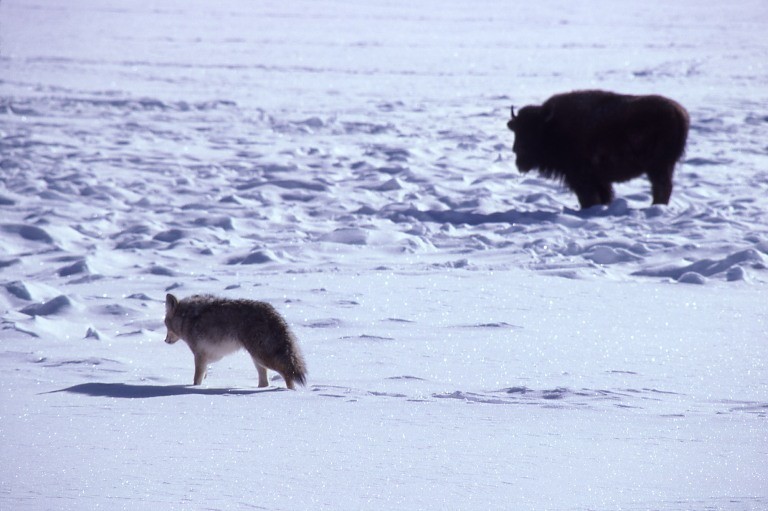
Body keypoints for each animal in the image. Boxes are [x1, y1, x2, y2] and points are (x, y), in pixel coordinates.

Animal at [508, 90, 688, 208]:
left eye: (535, 130)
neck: (553, 126)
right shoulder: (598, 179)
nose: (517, 150)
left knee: (661, 187)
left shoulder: (583, 178)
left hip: (658, 166)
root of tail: (679, 113)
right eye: (517, 130)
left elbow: (589, 198)